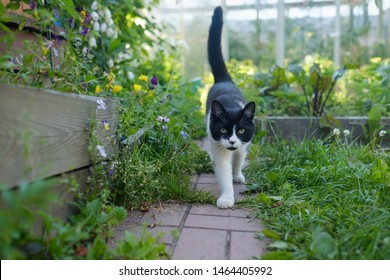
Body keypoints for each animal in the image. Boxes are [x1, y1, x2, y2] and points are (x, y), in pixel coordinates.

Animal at [206, 6, 258, 209]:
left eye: (242, 130)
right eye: (223, 129)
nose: (233, 141)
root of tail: (224, 80)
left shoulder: (245, 142)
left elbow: (238, 160)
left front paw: (237, 175)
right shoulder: (218, 144)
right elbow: (223, 171)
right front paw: (227, 198)